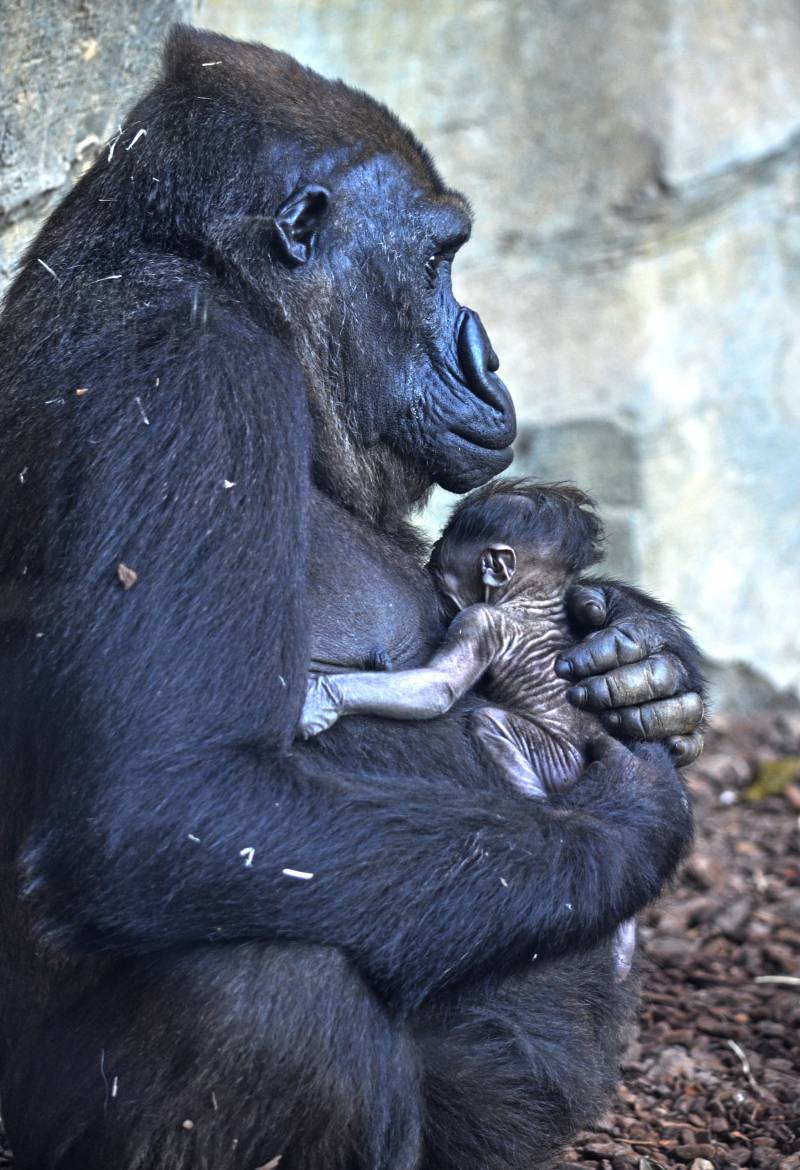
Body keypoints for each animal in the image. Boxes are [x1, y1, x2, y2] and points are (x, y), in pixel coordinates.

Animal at [299, 479, 636, 973]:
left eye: (443, 569)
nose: (433, 577)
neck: (532, 600)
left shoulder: (476, 621)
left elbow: (440, 686)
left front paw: (324, 698)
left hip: (560, 761)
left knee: (490, 723)